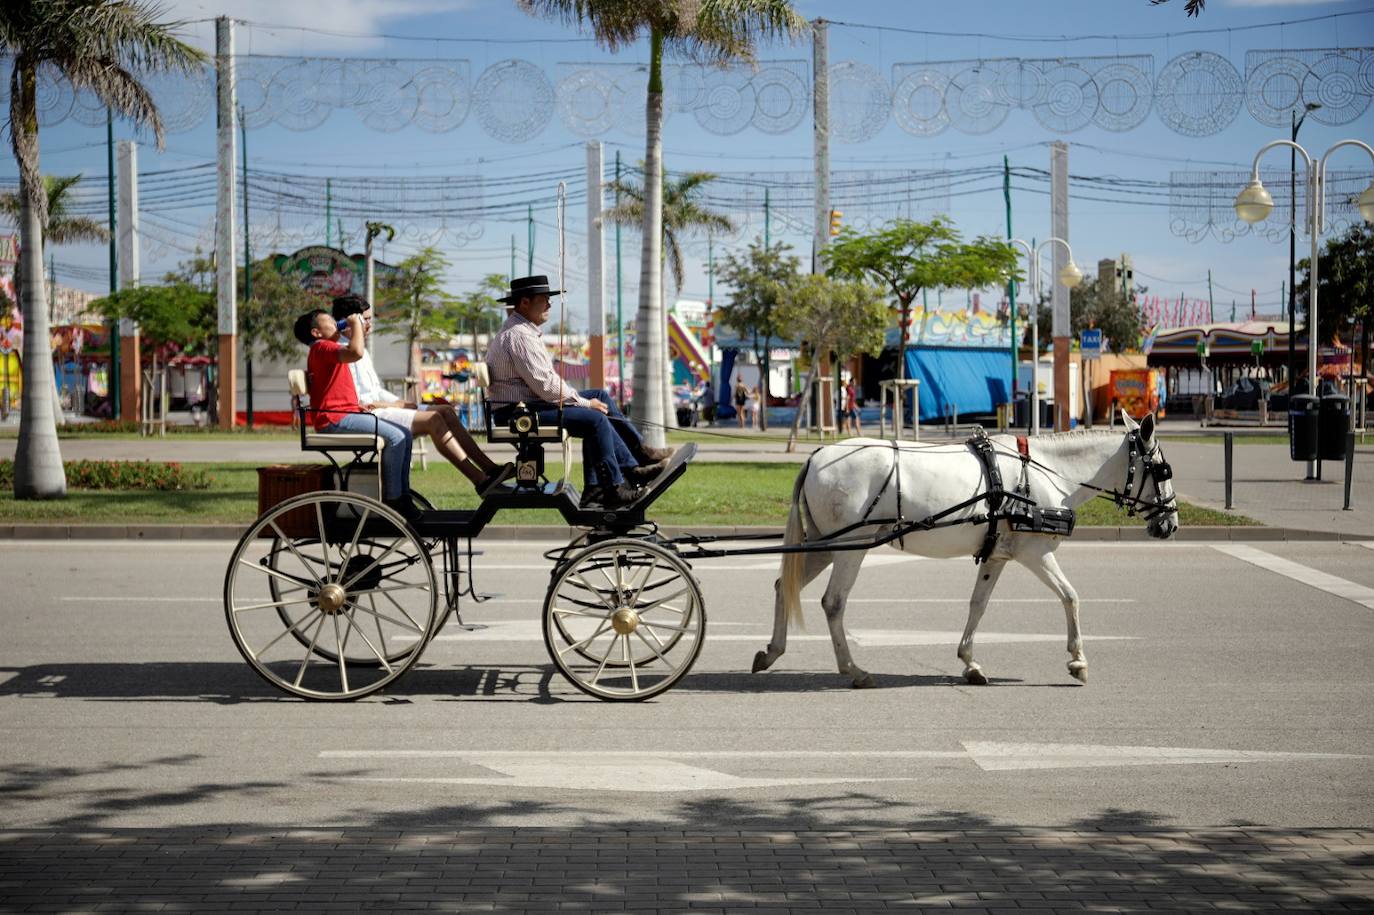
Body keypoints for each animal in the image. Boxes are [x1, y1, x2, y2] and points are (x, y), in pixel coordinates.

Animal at [752, 412, 1181, 684]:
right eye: (1162, 470)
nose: (1171, 523)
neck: (1042, 473)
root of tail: (817, 455)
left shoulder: (997, 555)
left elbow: (978, 605)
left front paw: (970, 663)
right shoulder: (1035, 554)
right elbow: (1070, 596)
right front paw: (1077, 660)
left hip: (824, 546)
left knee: (783, 586)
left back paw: (772, 650)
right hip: (850, 548)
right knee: (833, 602)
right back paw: (852, 669)